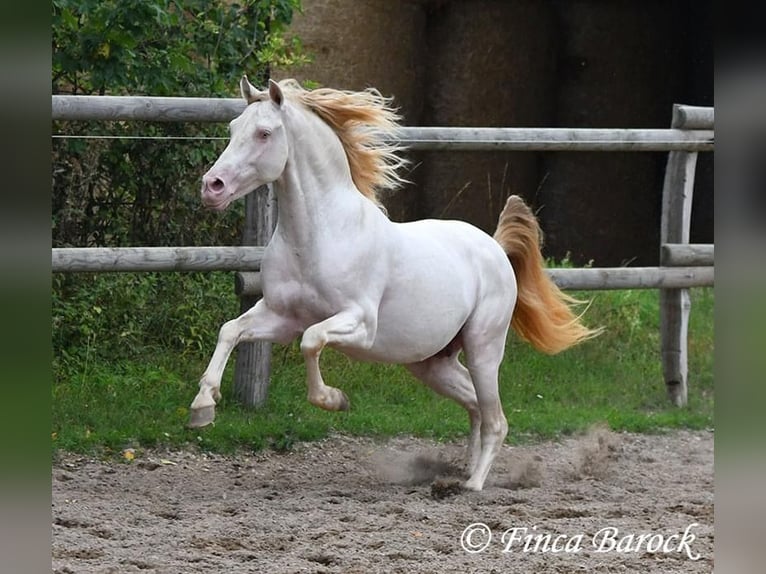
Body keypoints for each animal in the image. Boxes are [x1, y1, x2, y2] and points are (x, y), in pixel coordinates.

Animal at [190, 75, 600, 490]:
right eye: (232, 129)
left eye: (264, 133)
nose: (212, 186)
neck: (320, 235)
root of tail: (496, 248)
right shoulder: (280, 316)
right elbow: (231, 330)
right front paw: (203, 407)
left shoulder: (359, 323)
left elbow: (312, 341)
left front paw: (334, 400)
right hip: (432, 363)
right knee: (475, 406)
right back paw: (459, 471)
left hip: (484, 348)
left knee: (496, 419)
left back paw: (473, 483)